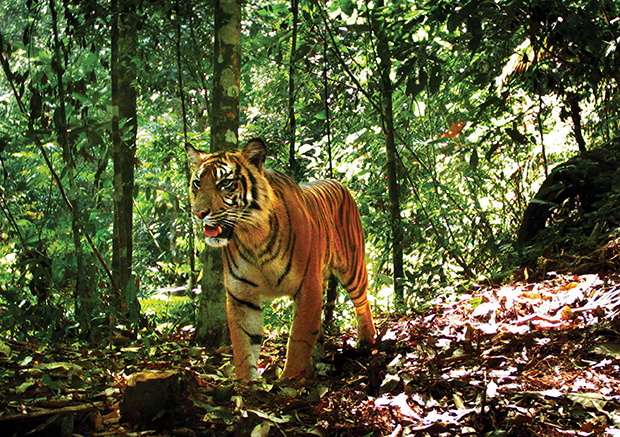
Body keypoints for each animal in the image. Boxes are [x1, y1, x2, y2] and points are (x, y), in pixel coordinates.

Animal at [186, 139, 376, 378]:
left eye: (226, 183)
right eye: (197, 183)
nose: (198, 213)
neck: (253, 236)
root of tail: (337, 182)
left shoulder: (308, 286)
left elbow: (299, 339)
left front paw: (290, 379)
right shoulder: (241, 294)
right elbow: (243, 343)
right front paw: (246, 381)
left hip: (353, 269)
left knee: (362, 301)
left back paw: (367, 340)